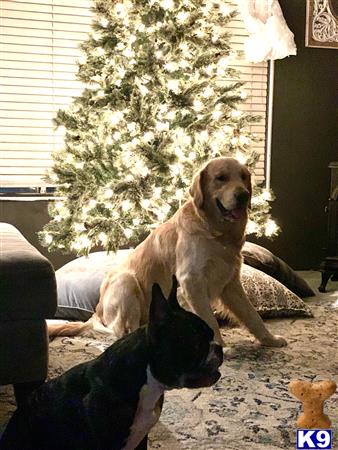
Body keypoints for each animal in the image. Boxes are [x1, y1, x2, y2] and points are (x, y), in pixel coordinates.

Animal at [49, 158, 288, 348]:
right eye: (221, 178)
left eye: (244, 177)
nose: (244, 195)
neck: (216, 233)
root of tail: (95, 312)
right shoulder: (191, 282)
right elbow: (210, 321)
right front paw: (219, 347)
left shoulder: (231, 283)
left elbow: (252, 315)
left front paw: (270, 340)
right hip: (127, 282)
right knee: (121, 331)